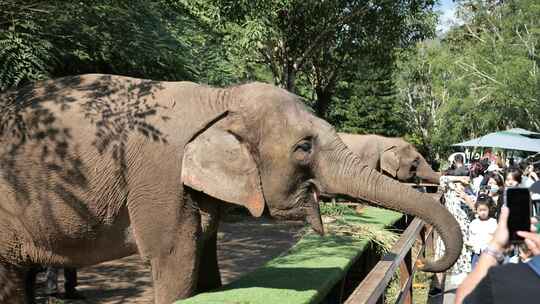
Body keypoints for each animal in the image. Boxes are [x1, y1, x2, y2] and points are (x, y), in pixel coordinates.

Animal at [1, 74, 464, 304]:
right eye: (303, 147)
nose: (426, 267)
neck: (217, 98)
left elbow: (204, 251)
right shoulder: (156, 173)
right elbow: (175, 255)